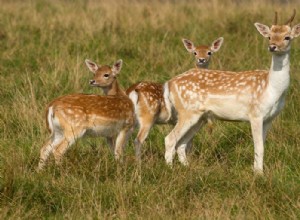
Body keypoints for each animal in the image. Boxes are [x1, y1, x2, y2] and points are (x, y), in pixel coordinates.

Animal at [163, 9, 300, 174]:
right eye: (269, 36)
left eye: (287, 37)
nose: (272, 46)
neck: (271, 88)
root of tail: (169, 83)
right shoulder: (255, 114)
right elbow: (259, 147)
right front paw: (259, 174)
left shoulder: (269, 118)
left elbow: (262, 146)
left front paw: (257, 170)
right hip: (187, 111)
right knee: (170, 139)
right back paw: (170, 169)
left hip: (199, 117)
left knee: (181, 143)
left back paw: (188, 168)